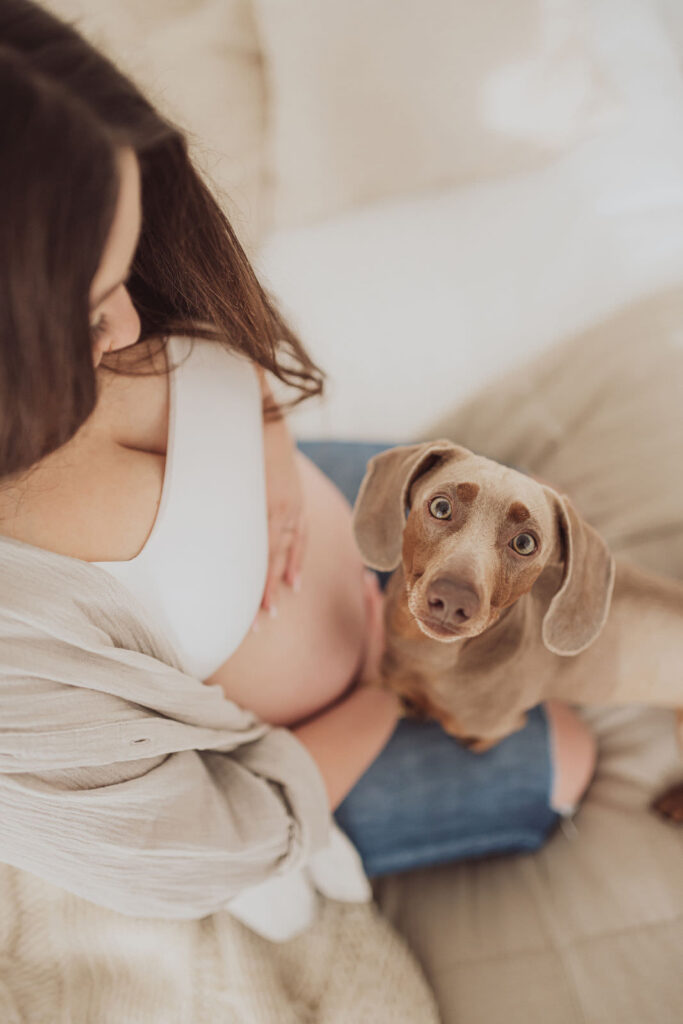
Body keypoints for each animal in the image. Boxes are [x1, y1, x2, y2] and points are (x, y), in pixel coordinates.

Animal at [352, 436, 683, 819]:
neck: (430, 656)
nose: (452, 599)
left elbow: (472, 736)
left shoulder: (497, 725)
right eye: (440, 507)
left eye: (525, 543)